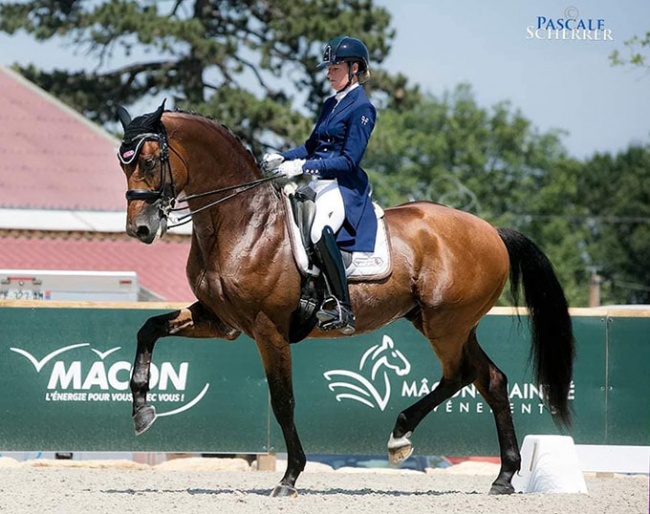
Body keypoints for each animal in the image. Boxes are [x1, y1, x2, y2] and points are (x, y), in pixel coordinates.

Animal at [115, 101, 572, 496]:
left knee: (460, 374)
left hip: (446, 324)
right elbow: (147, 329)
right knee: (490, 379)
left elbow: (283, 401)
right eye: (124, 164)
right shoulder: (219, 321)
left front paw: (290, 478)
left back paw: (400, 437)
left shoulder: (268, 330)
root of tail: (492, 230)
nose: (140, 229)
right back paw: (503, 476)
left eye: (150, 161)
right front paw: (141, 410)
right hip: (444, 323)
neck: (243, 222)